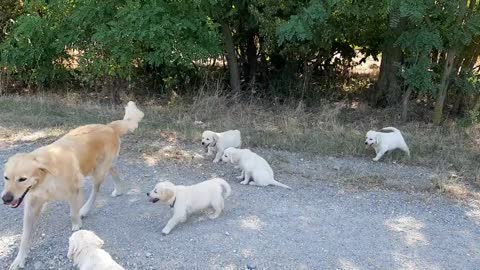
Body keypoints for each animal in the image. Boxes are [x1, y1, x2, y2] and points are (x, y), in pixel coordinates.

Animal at [1, 102, 143, 270]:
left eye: (22, 179)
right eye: (6, 177)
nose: (6, 199)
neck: (45, 178)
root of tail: (109, 127)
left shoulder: (74, 190)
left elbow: (73, 213)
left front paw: (76, 224)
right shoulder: (32, 204)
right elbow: (24, 236)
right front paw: (19, 259)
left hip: (97, 172)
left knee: (96, 190)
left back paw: (86, 209)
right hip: (98, 166)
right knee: (114, 170)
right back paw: (119, 189)